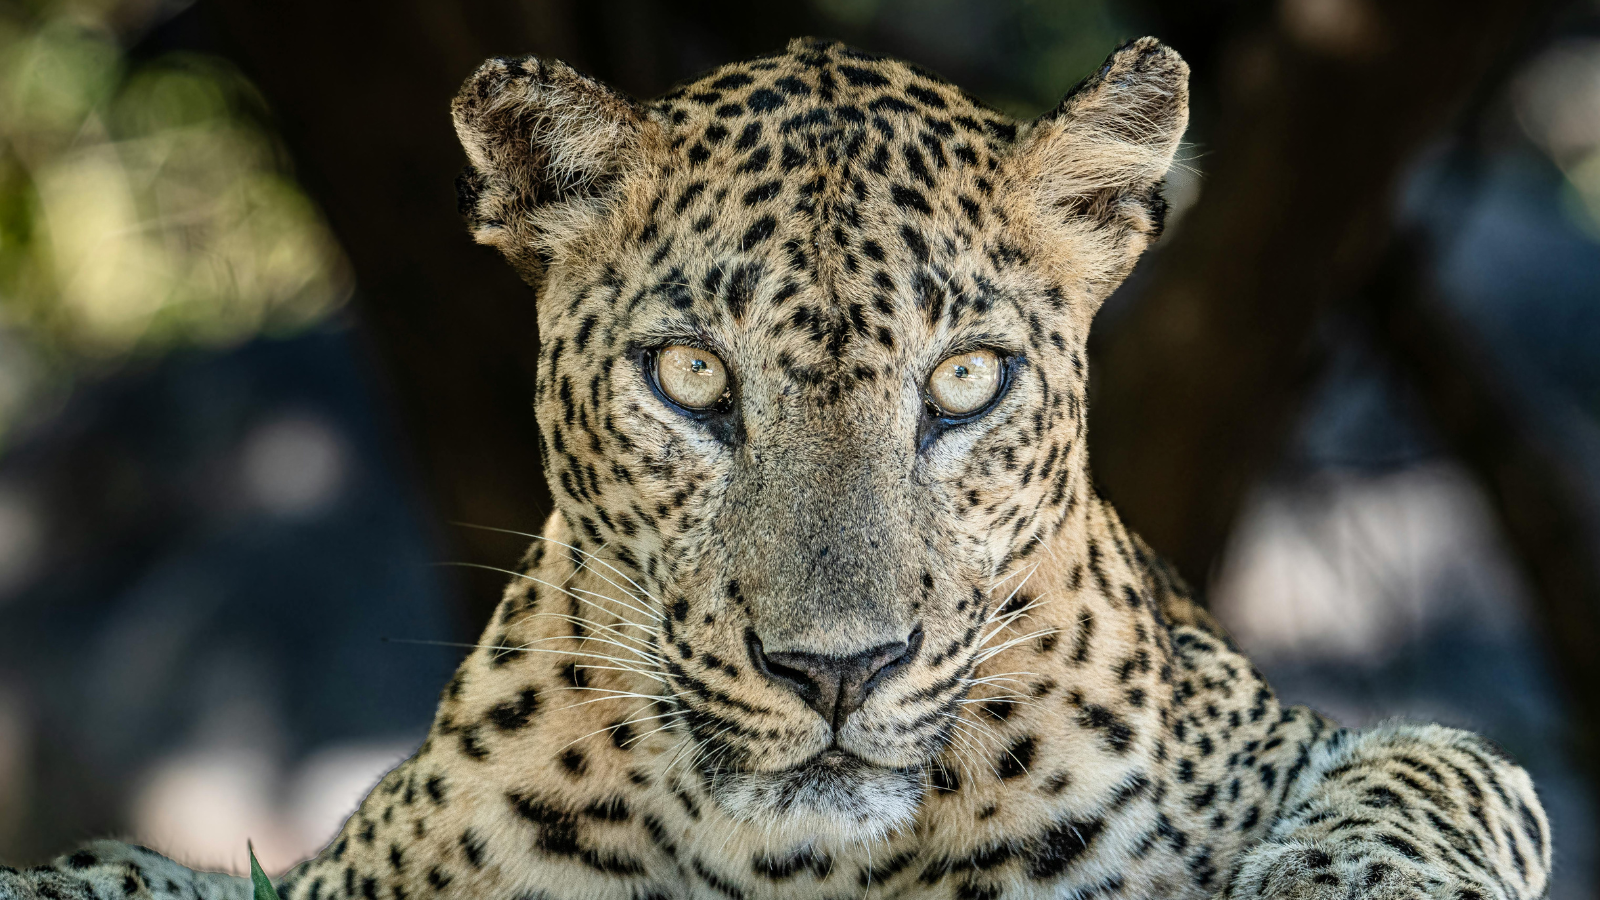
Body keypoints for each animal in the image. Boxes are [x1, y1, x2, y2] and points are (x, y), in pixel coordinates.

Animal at [2, 35, 1553, 900]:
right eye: (690, 377)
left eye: (965, 381)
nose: (837, 672)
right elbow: (115, 871)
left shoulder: (1321, 743)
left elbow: (1433, 772)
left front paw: (1350, 883)